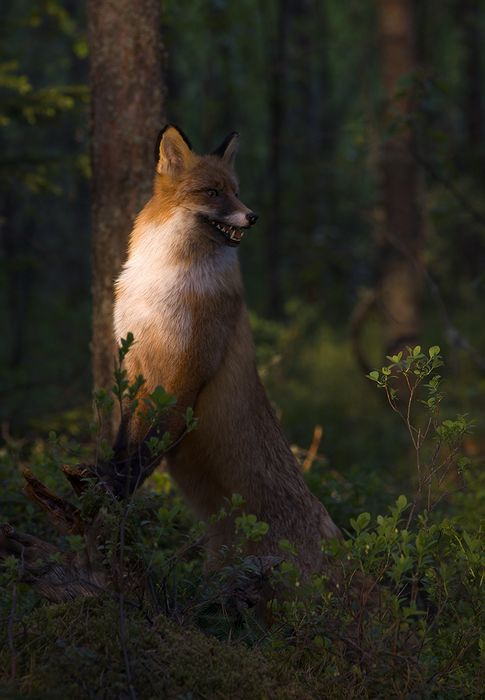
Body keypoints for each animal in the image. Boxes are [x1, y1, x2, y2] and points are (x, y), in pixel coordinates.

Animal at [108, 125, 341, 575]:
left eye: (236, 191)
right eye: (213, 192)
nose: (254, 216)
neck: (165, 281)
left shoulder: (182, 374)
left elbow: (143, 457)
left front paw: (106, 503)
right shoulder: (134, 368)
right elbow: (122, 445)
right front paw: (95, 488)